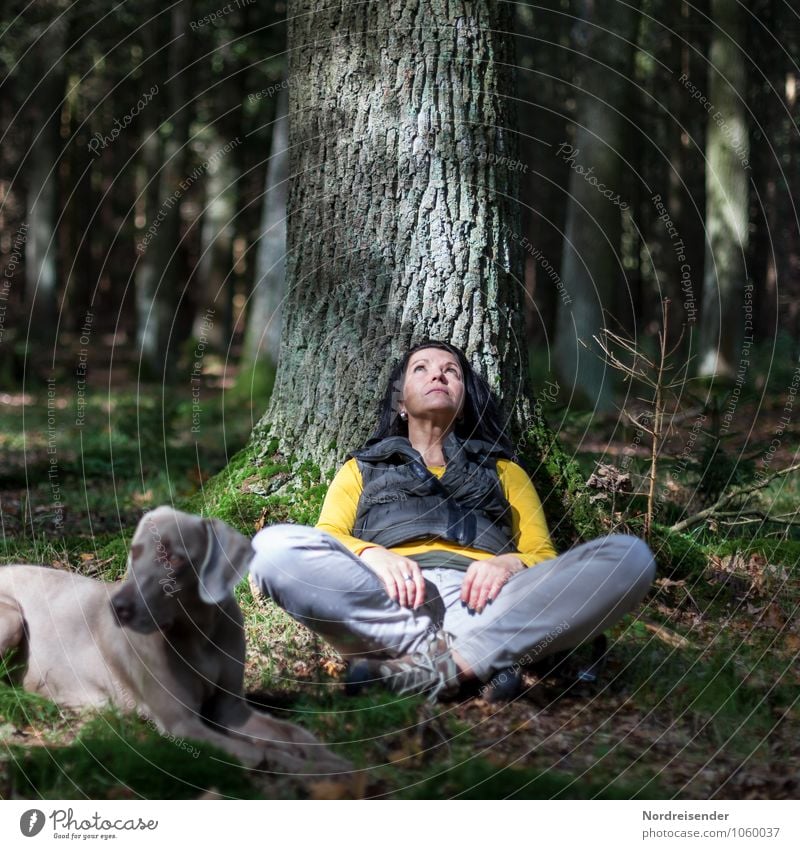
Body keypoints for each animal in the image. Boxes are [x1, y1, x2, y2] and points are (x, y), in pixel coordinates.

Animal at [0, 504, 350, 776]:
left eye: (175, 558)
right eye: (134, 553)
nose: (119, 607)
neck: (197, 635)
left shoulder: (231, 711)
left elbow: (296, 733)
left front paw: (334, 759)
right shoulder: (180, 723)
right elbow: (261, 754)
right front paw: (317, 772)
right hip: (12, 618)